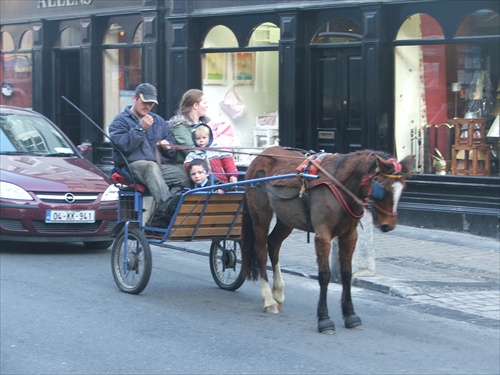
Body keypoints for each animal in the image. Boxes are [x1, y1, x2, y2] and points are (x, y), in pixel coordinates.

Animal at [241, 147, 414, 334]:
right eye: (381, 187)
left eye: (403, 187)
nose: (388, 225)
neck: (340, 184)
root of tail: (262, 154)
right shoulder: (323, 236)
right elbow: (324, 276)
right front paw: (324, 319)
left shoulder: (349, 235)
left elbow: (346, 274)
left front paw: (351, 315)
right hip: (260, 215)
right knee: (261, 249)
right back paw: (269, 299)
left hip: (286, 219)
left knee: (273, 244)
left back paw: (278, 293)